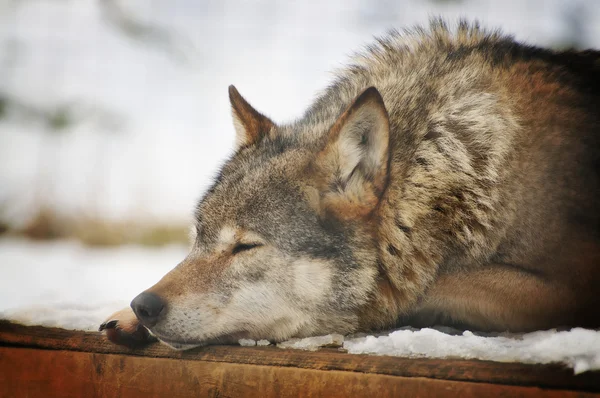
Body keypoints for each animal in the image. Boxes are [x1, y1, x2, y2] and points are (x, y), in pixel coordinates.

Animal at [99, 20, 600, 350]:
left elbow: (427, 288)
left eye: (244, 247)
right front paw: (125, 317)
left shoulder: (568, 287)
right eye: (197, 240)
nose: (145, 306)